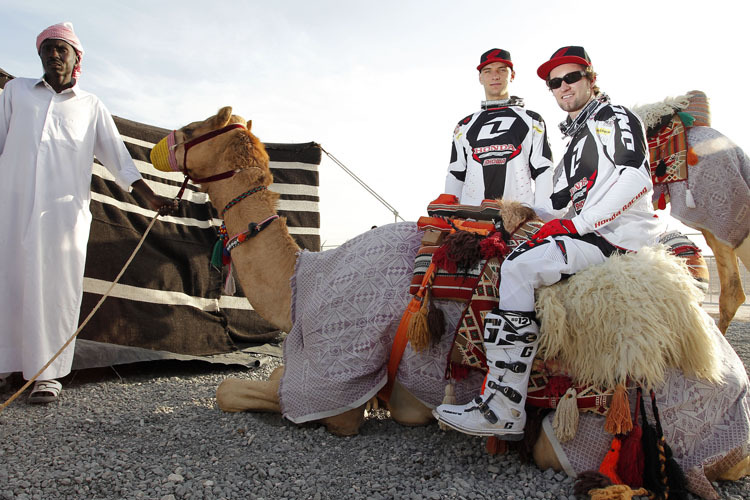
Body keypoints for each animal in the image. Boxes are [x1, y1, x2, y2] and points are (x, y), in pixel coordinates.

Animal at [153, 107, 750, 498]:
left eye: (198, 128)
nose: (162, 144)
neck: (303, 281)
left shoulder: (335, 368)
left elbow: (235, 392)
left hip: (603, 425)